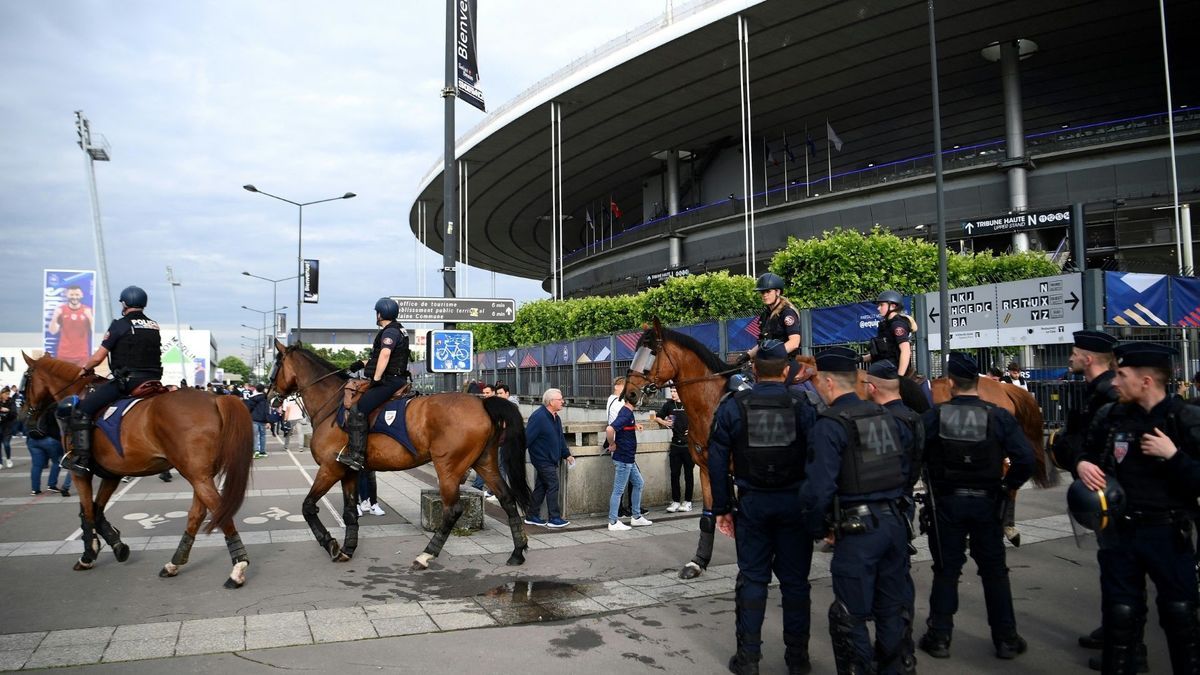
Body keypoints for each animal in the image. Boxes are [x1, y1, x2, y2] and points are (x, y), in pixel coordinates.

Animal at [20, 355, 258, 586]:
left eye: (26, 382)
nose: (26, 421)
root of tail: (215, 399)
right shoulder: (111, 474)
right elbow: (96, 510)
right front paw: (116, 544)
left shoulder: (80, 473)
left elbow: (87, 512)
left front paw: (89, 555)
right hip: (200, 475)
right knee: (197, 514)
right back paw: (174, 563)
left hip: (197, 476)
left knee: (219, 510)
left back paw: (237, 569)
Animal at [274, 341, 537, 566]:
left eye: (277, 364)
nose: (271, 394)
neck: (332, 404)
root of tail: (482, 403)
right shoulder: (348, 471)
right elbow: (349, 513)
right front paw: (347, 548)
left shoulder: (330, 469)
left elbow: (308, 507)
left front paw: (330, 544)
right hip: (485, 462)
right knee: (508, 500)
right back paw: (517, 552)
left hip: (449, 468)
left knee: (453, 510)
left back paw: (427, 554)